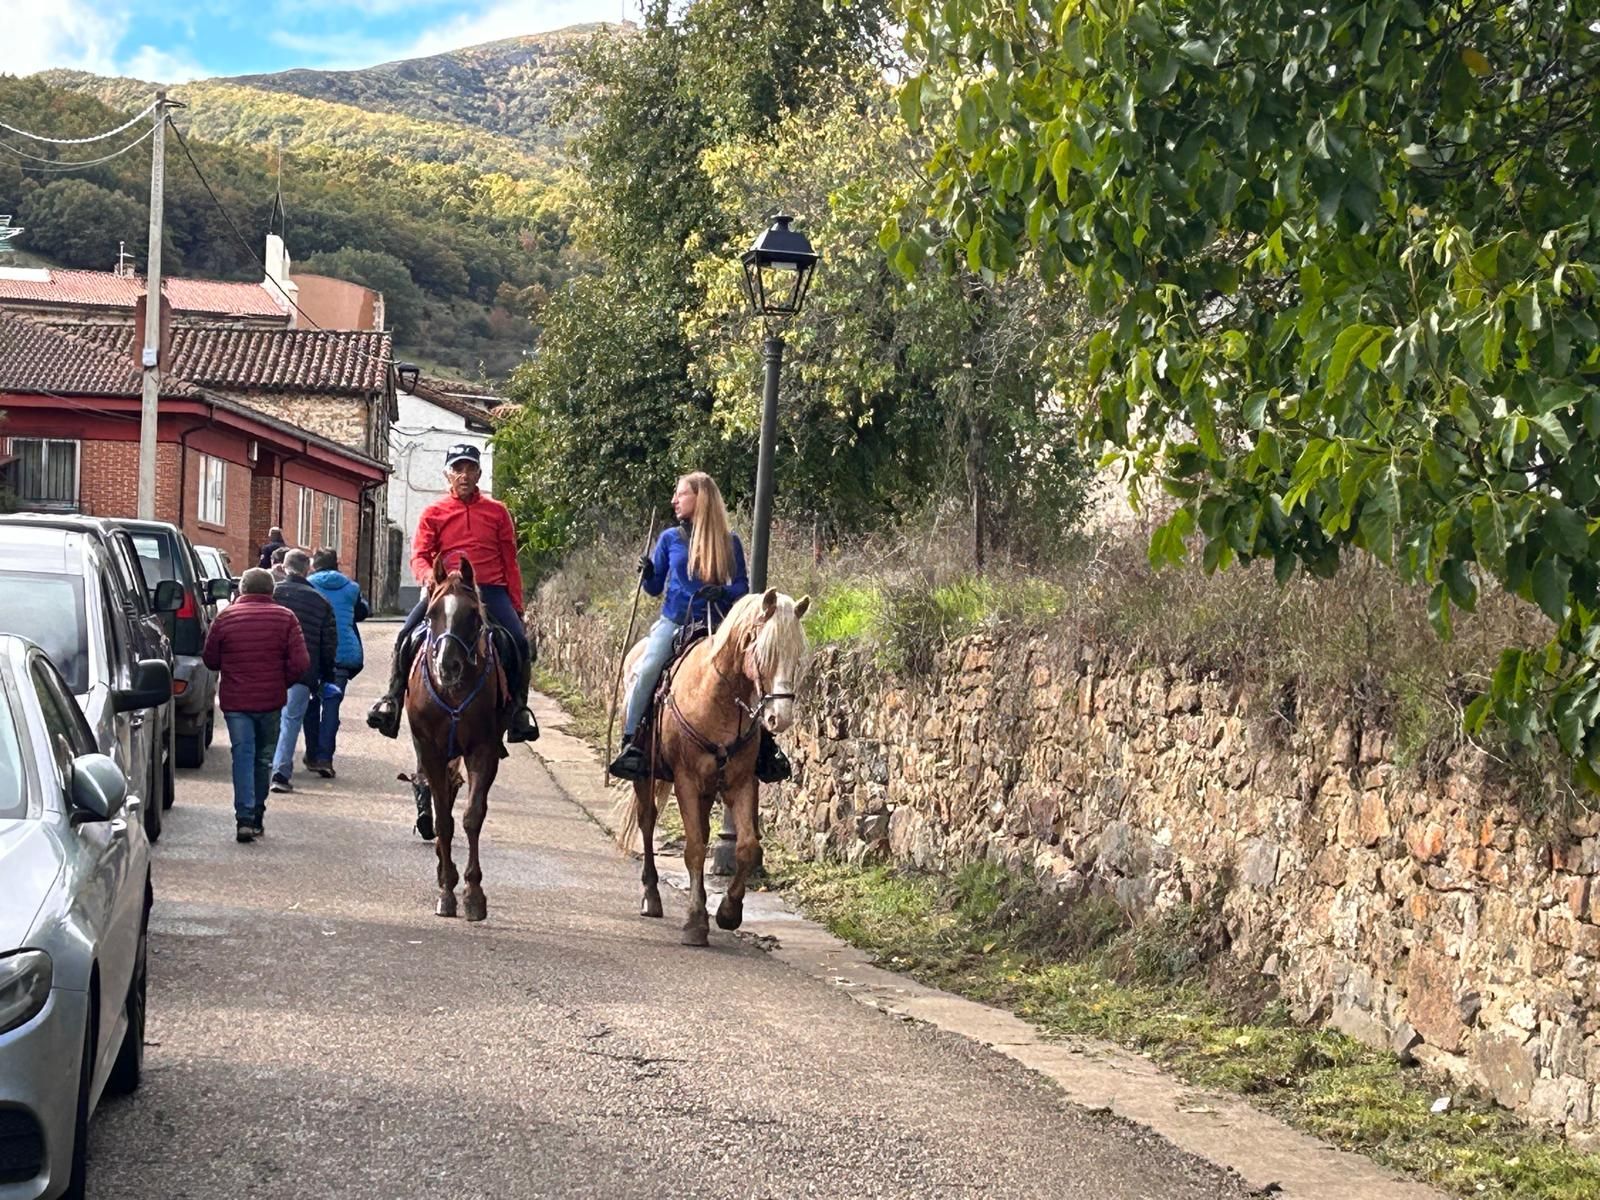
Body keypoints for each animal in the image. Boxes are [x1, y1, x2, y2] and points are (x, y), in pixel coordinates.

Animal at [403, 560, 502, 928]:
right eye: (432, 614)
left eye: (472, 615)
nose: (447, 665)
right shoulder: (430, 749)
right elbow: (444, 820)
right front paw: (447, 890)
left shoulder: (484, 751)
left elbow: (472, 816)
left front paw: (474, 894)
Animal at [614, 592, 812, 947]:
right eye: (763, 651)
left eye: (796, 656)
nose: (780, 718)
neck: (717, 700)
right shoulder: (686, 782)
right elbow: (694, 849)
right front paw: (695, 921)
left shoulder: (741, 783)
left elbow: (747, 846)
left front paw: (728, 912)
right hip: (646, 778)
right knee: (647, 823)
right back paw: (651, 895)